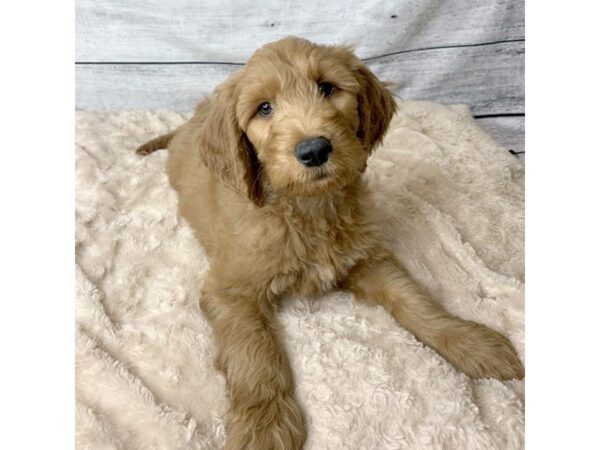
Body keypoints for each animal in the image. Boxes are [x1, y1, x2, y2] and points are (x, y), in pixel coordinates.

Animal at [138, 36, 524, 450]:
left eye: (326, 88)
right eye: (264, 108)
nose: (314, 150)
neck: (309, 208)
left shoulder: (368, 258)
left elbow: (414, 299)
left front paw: (471, 342)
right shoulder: (230, 290)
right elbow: (254, 352)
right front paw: (265, 424)